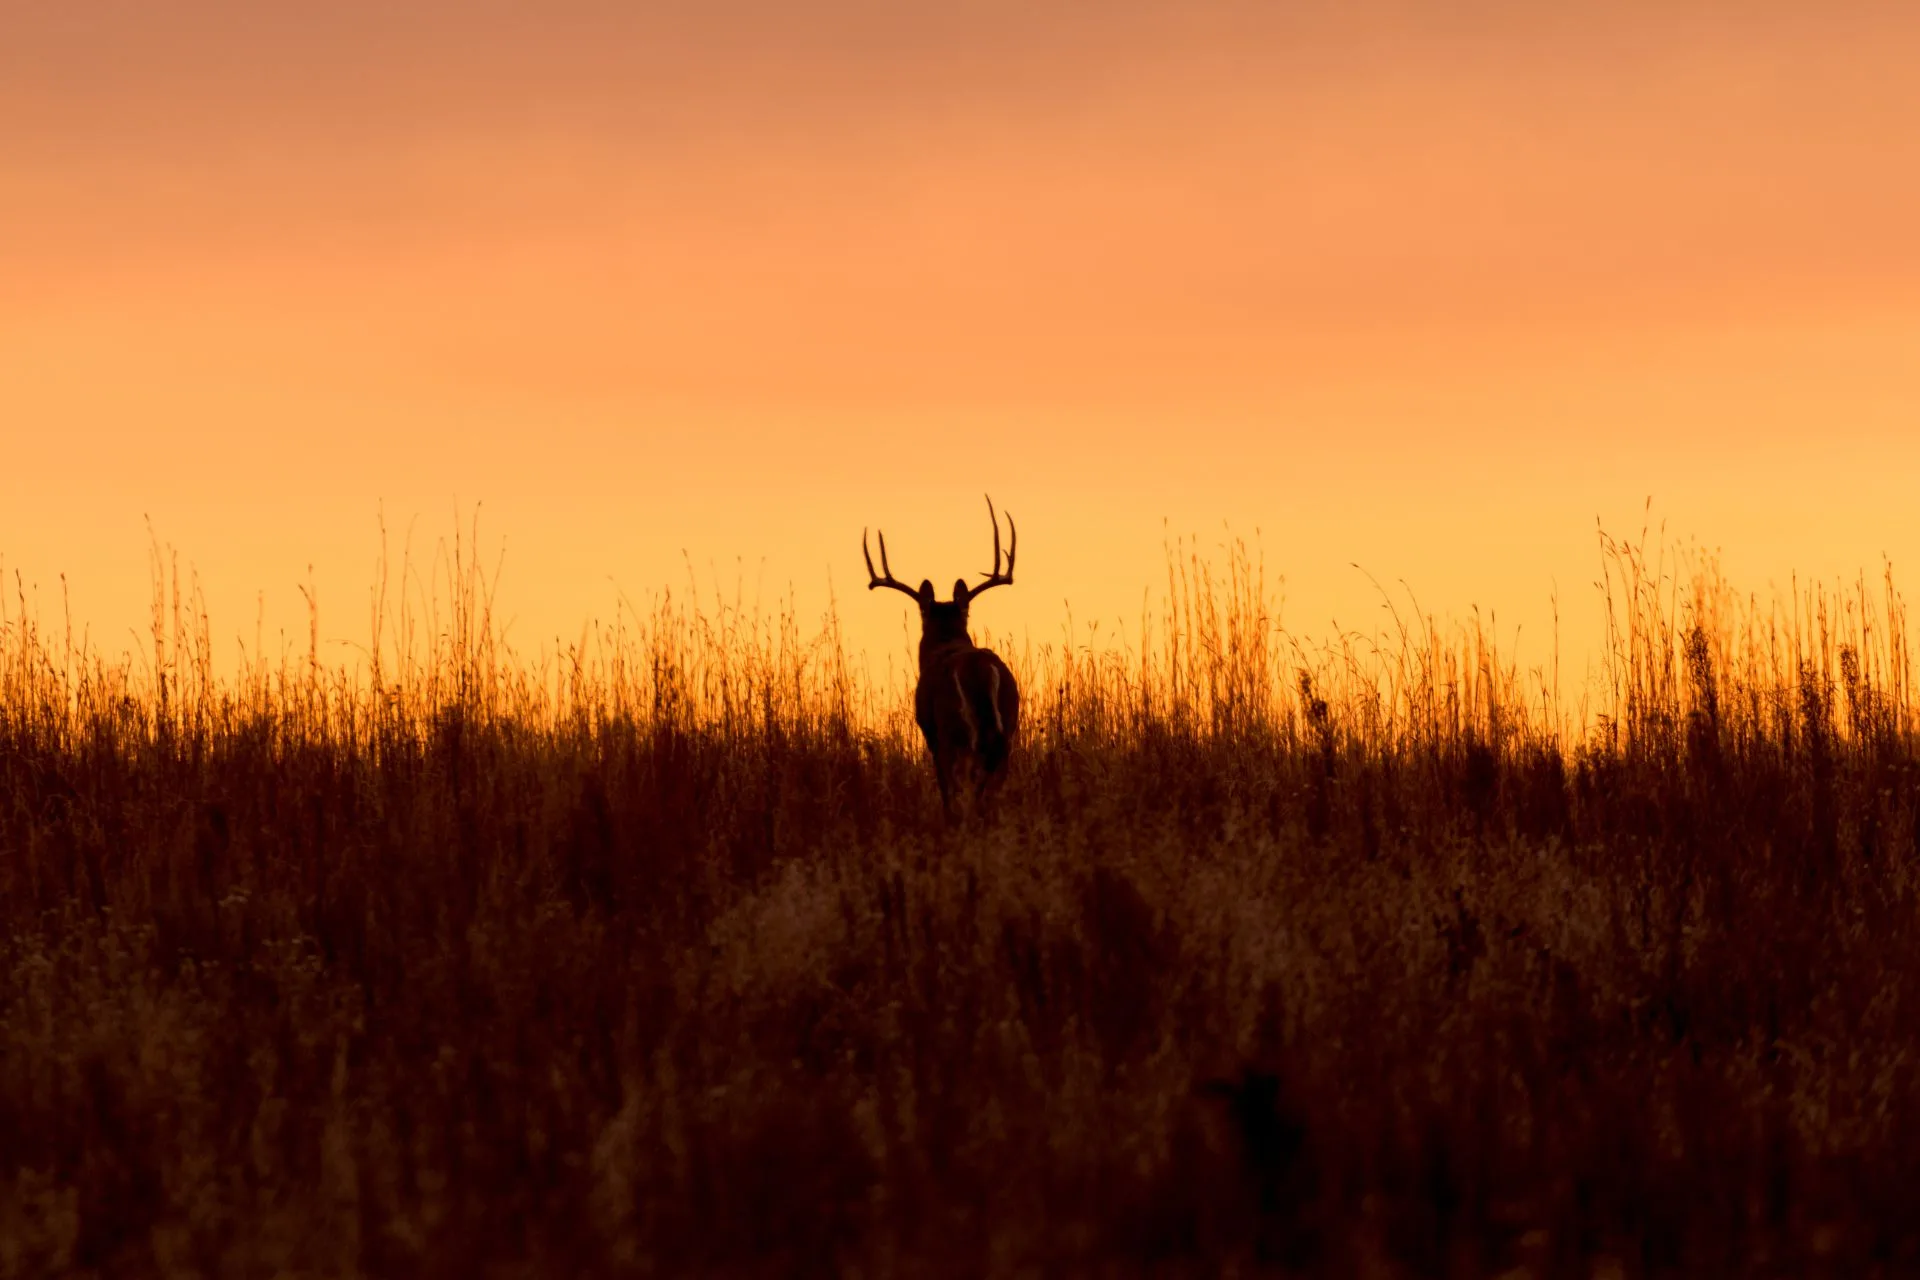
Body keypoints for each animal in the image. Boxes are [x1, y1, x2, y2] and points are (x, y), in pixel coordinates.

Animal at [864, 497, 1021, 820]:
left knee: (966, 788)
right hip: (1009, 725)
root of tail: (981, 669)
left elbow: (945, 788)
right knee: (992, 786)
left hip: (952, 728)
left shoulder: (931, 732)